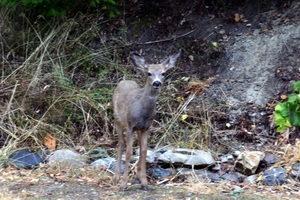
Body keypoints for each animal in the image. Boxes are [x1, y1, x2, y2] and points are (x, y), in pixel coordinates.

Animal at [111, 49, 179, 190]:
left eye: (163, 73)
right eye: (149, 73)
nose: (157, 83)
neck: (143, 111)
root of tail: (123, 81)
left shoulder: (147, 127)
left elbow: (143, 151)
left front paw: (144, 182)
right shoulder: (130, 125)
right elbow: (129, 152)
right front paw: (123, 184)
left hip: (138, 128)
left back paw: (136, 177)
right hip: (118, 120)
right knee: (120, 144)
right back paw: (115, 178)